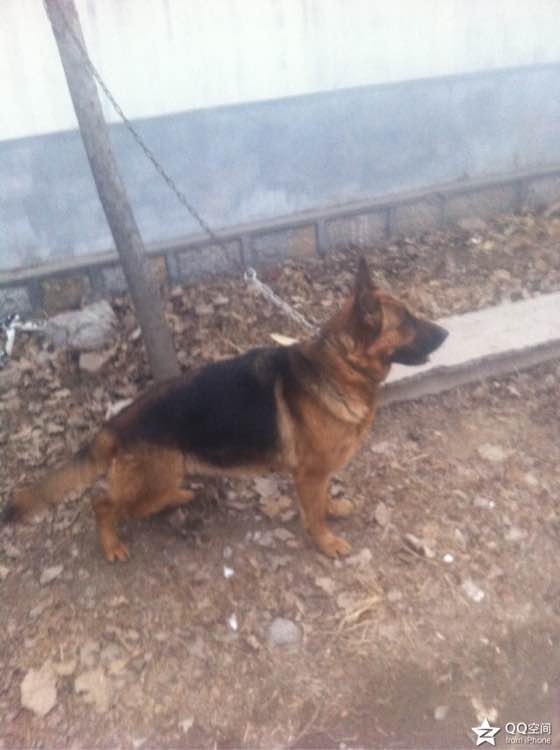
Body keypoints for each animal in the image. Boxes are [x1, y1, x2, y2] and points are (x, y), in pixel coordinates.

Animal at [3, 258, 447, 561]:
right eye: (408, 322)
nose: (445, 333)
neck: (341, 365)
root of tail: (115, 426)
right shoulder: (309, 474)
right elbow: (314, 514)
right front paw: (325, 541)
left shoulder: (321, 473)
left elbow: (324, 500)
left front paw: (334, 508)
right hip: (154, 477)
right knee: (104, 504)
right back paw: (111, 544)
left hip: (163, 475)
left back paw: (176, 498)